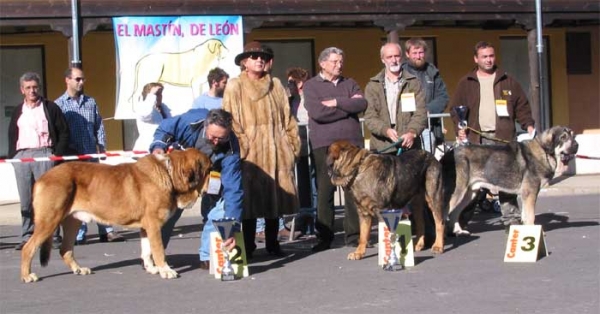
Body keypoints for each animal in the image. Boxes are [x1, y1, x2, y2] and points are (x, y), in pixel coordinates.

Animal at [20, 148, 211, 284]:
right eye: (210, 169)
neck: (169, 173)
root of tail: (42, 178)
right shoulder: (154, 225)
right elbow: (158, 250)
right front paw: (166, 270)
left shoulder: (145, 227)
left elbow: (147, 251)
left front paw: (151, 269)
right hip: (49, 221)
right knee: (28, 248)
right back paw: (27, 276)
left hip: (72, 222)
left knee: (65, 250)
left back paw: (79, 269)